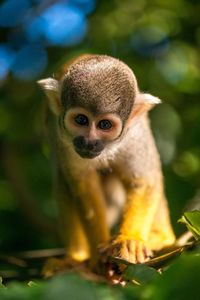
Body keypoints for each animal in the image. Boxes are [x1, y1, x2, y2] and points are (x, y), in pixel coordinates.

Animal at [37, 54, 175, 272]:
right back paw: (75, 258)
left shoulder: (135, 135)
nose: (89, 142)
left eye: (105, 125)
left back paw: (161, 238)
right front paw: (97, 255)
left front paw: (129, 239)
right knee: (63, 181)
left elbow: (145, 181)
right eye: (81, 120)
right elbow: (84, 188)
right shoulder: (62, 140)